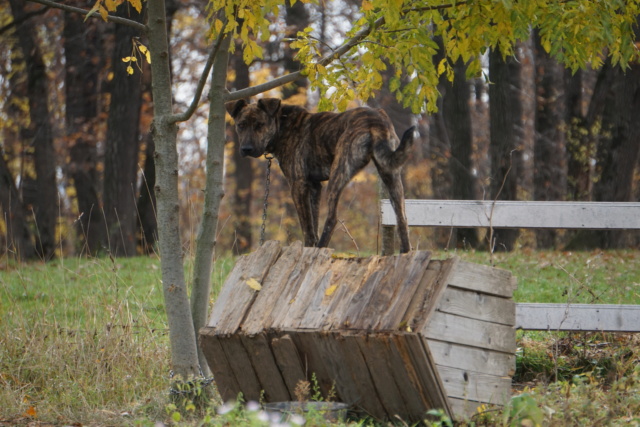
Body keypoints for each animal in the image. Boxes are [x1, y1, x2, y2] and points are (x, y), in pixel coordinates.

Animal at [226, 98, 416, 252]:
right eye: (241, 125)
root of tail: (375, 120)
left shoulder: (298, 185)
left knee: (332, 218)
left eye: (260, 125)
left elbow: (307, 228)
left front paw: (309, 249)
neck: (282, 125)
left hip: (338, 173)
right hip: (391, 176)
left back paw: (321, 248)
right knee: (402, 219)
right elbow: (314, 222)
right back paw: (405, 253)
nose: (246, 149)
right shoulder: (314, 187)